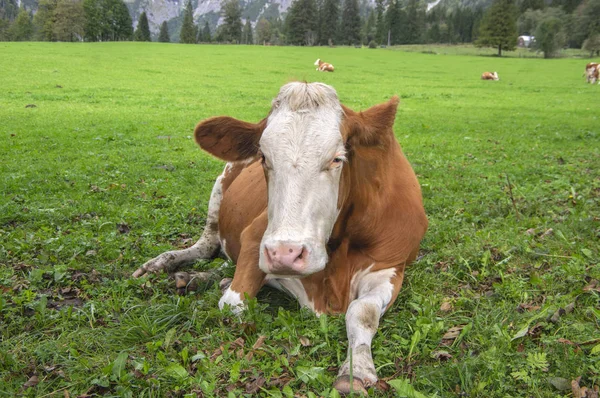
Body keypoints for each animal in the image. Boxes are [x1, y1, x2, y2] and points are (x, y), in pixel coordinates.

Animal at [134, 81, 428, 394]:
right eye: (264, 157)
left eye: (337, 159)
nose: (285, 254)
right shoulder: (257, 238)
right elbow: (233, 304)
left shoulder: (391, 266)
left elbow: (362, 313)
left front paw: (356, 370)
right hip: (220, 186)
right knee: (205, 245)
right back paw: (167, 266)